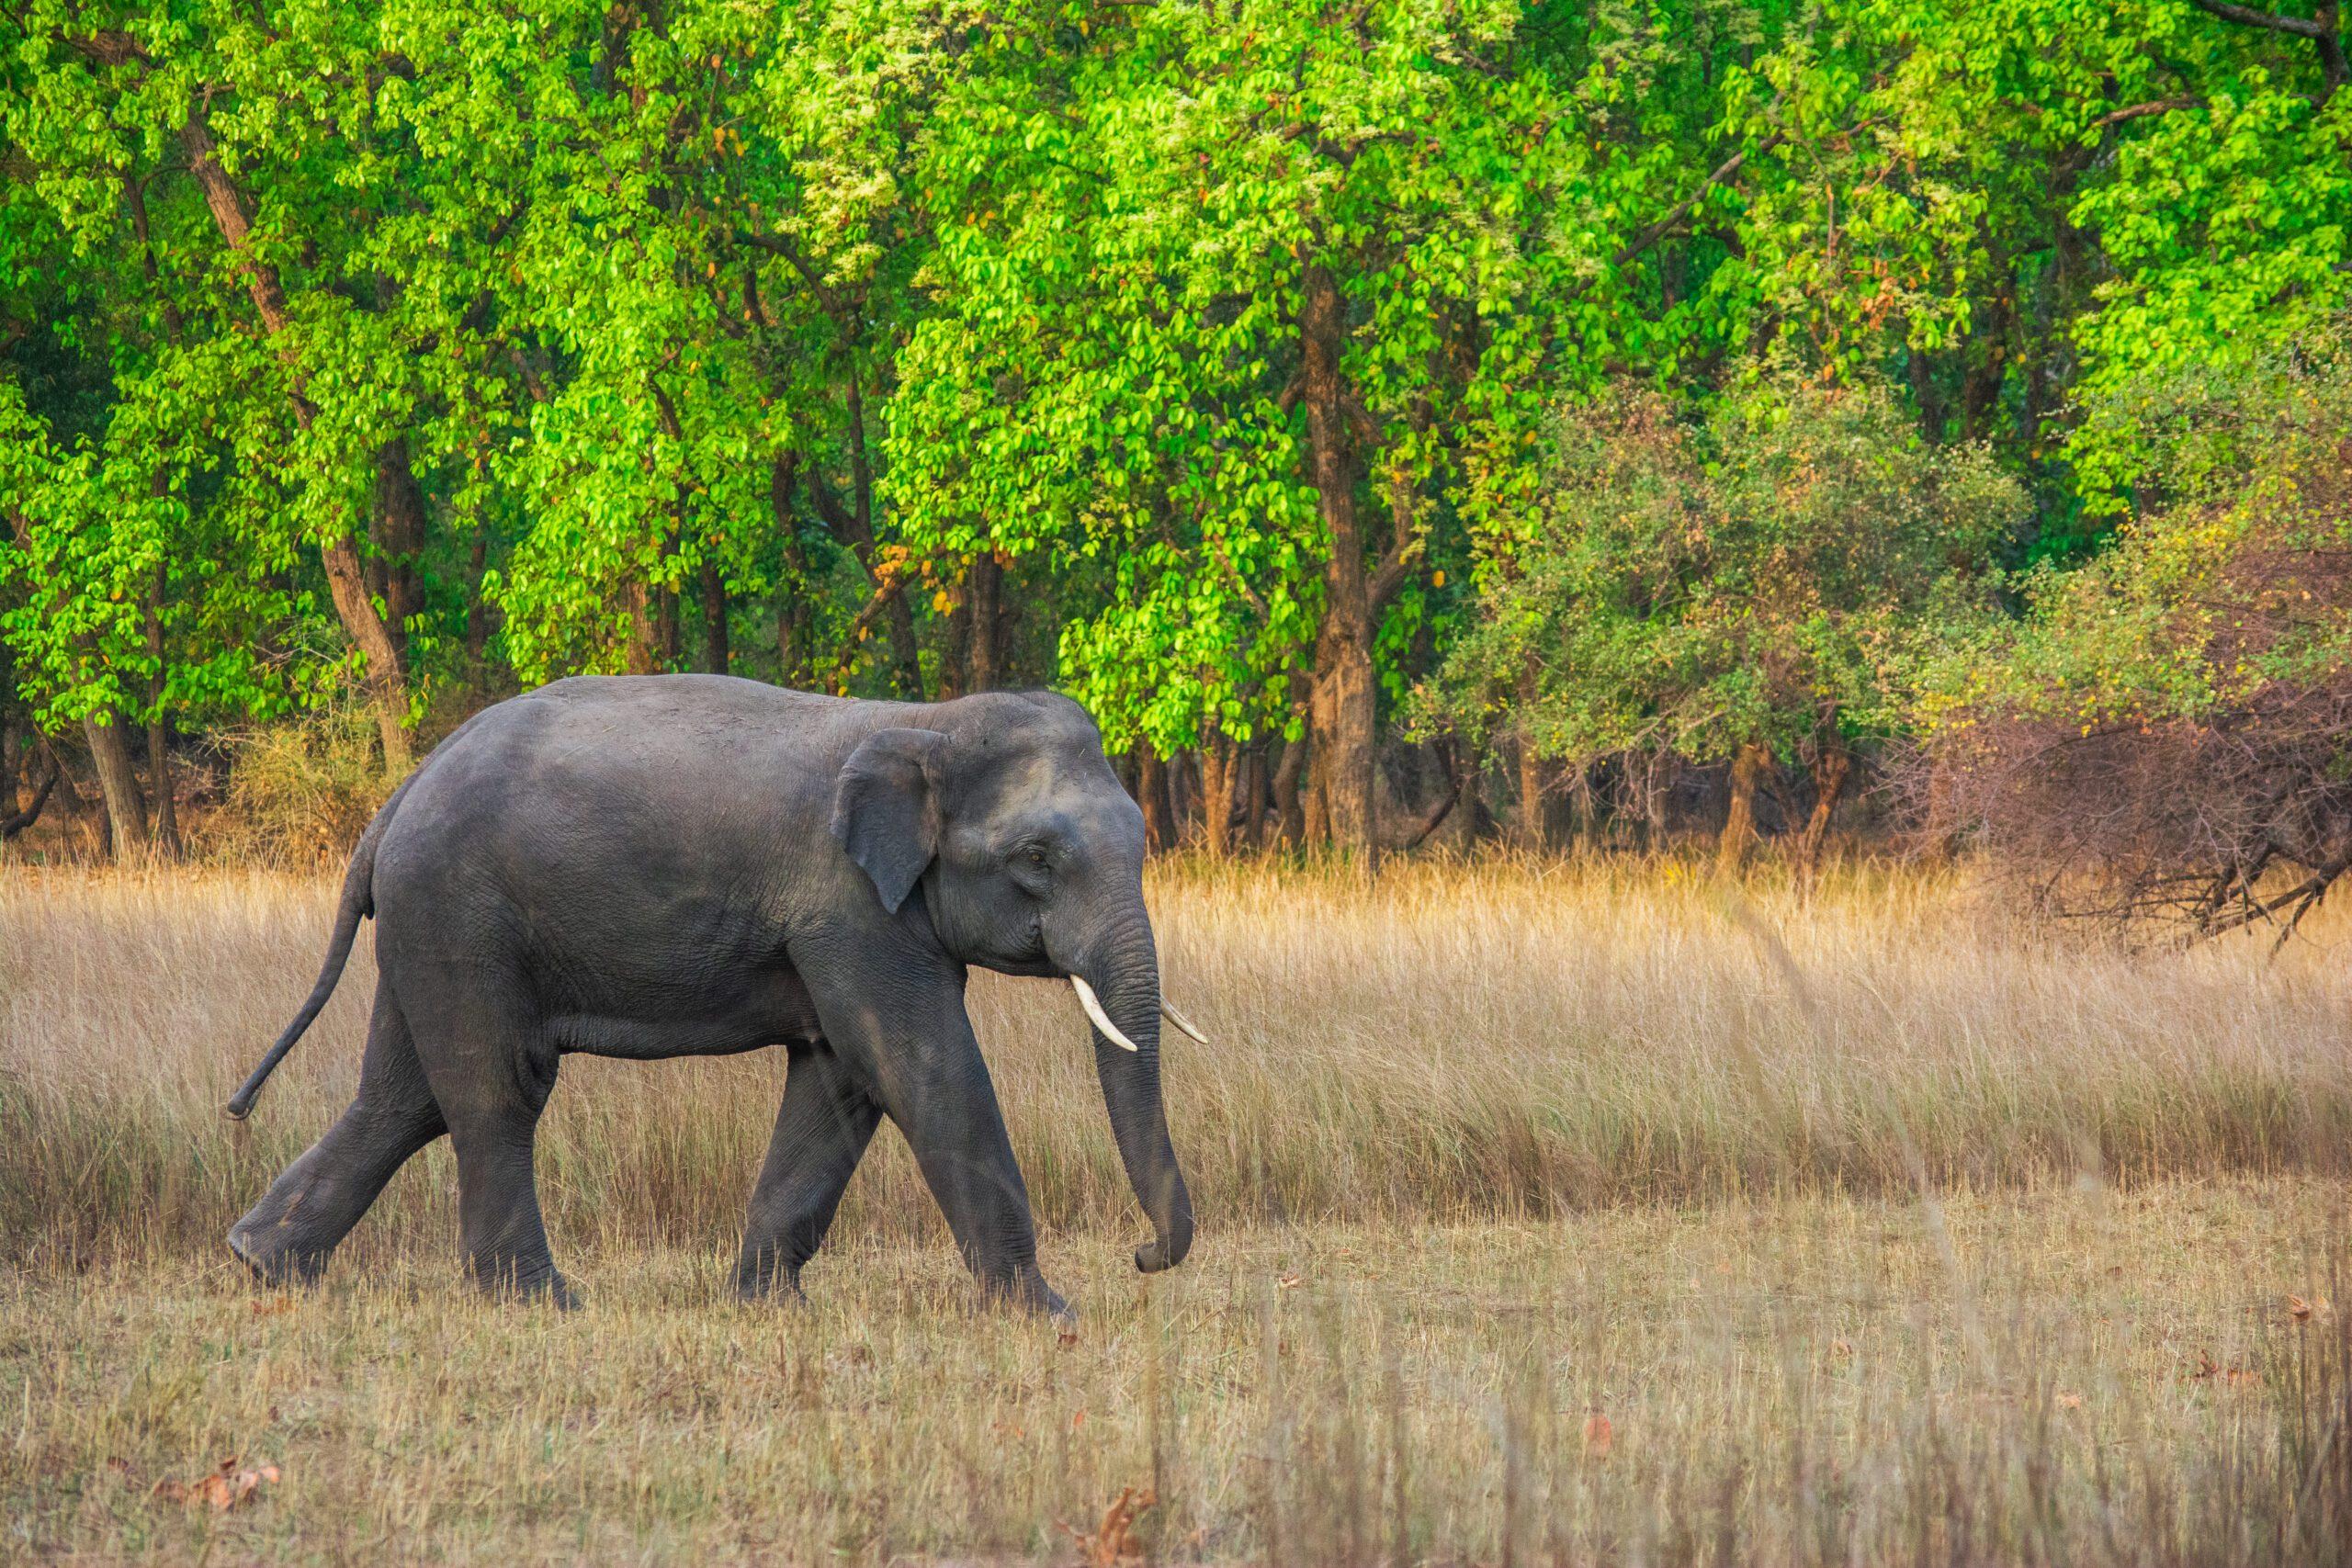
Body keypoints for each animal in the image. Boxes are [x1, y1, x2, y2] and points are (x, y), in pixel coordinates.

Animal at [220, 677, 1194, 1316]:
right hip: (462, 916)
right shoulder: (849, 905)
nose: (1142, 1254)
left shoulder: (852, 922)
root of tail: (396, 798)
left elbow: (841, 1079)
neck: (923, 722)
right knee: (497, 1092)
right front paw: (1048, 1313)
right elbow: (922, 1066)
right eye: (1037, 858)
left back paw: (263, 1265)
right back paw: (542, 1303)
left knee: (402, 1098)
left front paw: (763, 1305)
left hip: (430, 925)